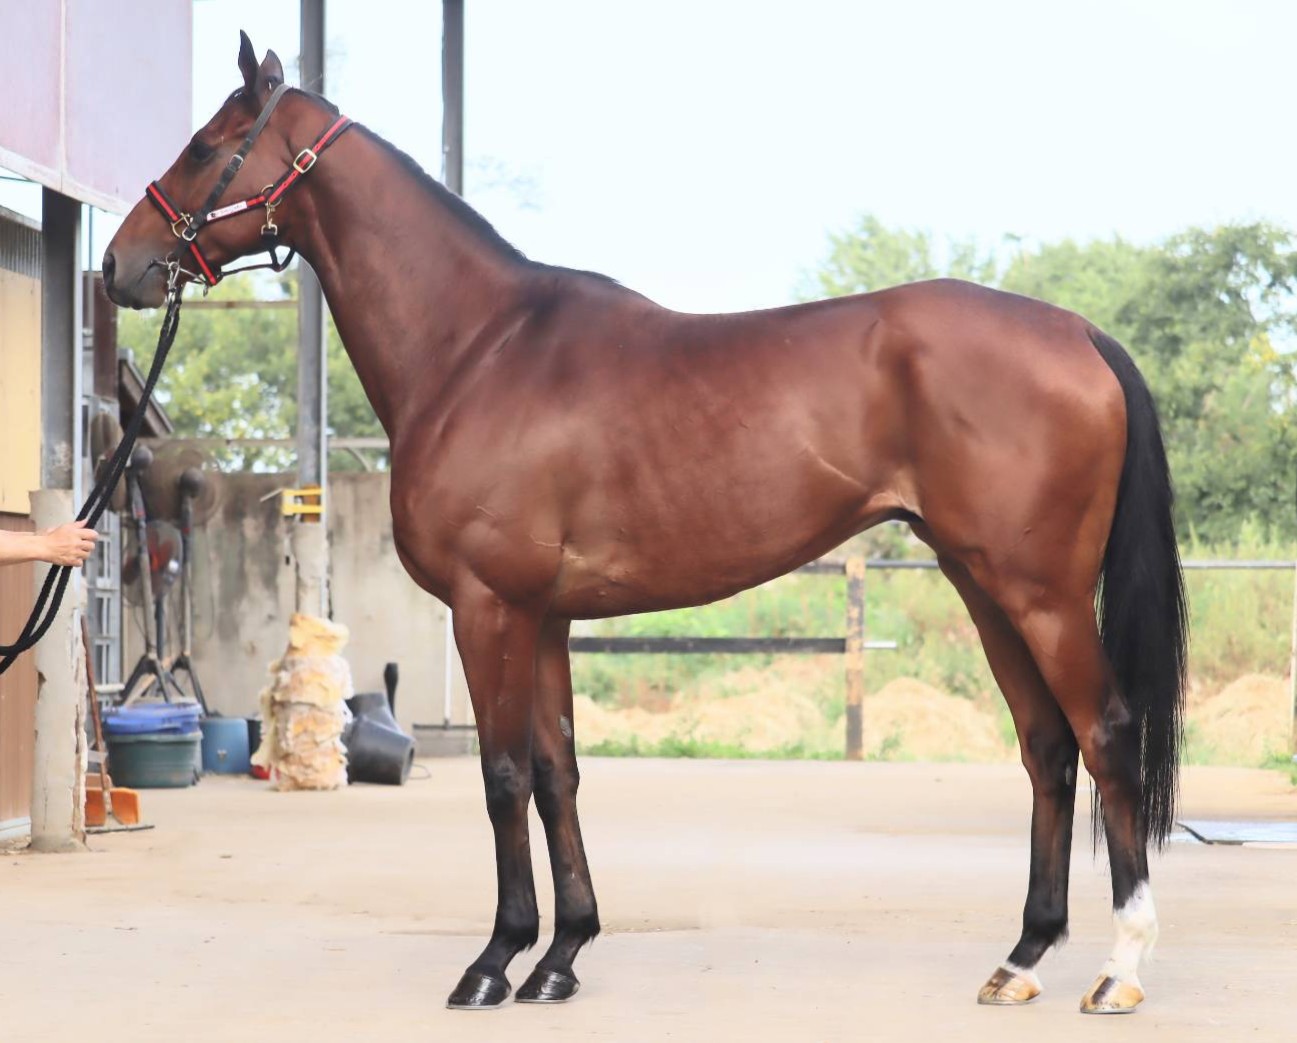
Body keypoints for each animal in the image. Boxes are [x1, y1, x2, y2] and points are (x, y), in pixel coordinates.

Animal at [104, 33, 1187, 1015]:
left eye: (207, 144)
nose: (121, 264)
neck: (477, 348)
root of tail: (1076, 331)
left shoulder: (489, 606)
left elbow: (503, 774)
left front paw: (494, 960)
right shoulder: (543, 615)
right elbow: (558, 772)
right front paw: (560, 956)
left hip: (1041, 592)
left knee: (1104, 733)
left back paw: (1120, 968)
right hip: (983, 583)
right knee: (1045, 745)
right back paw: (1022, 958)